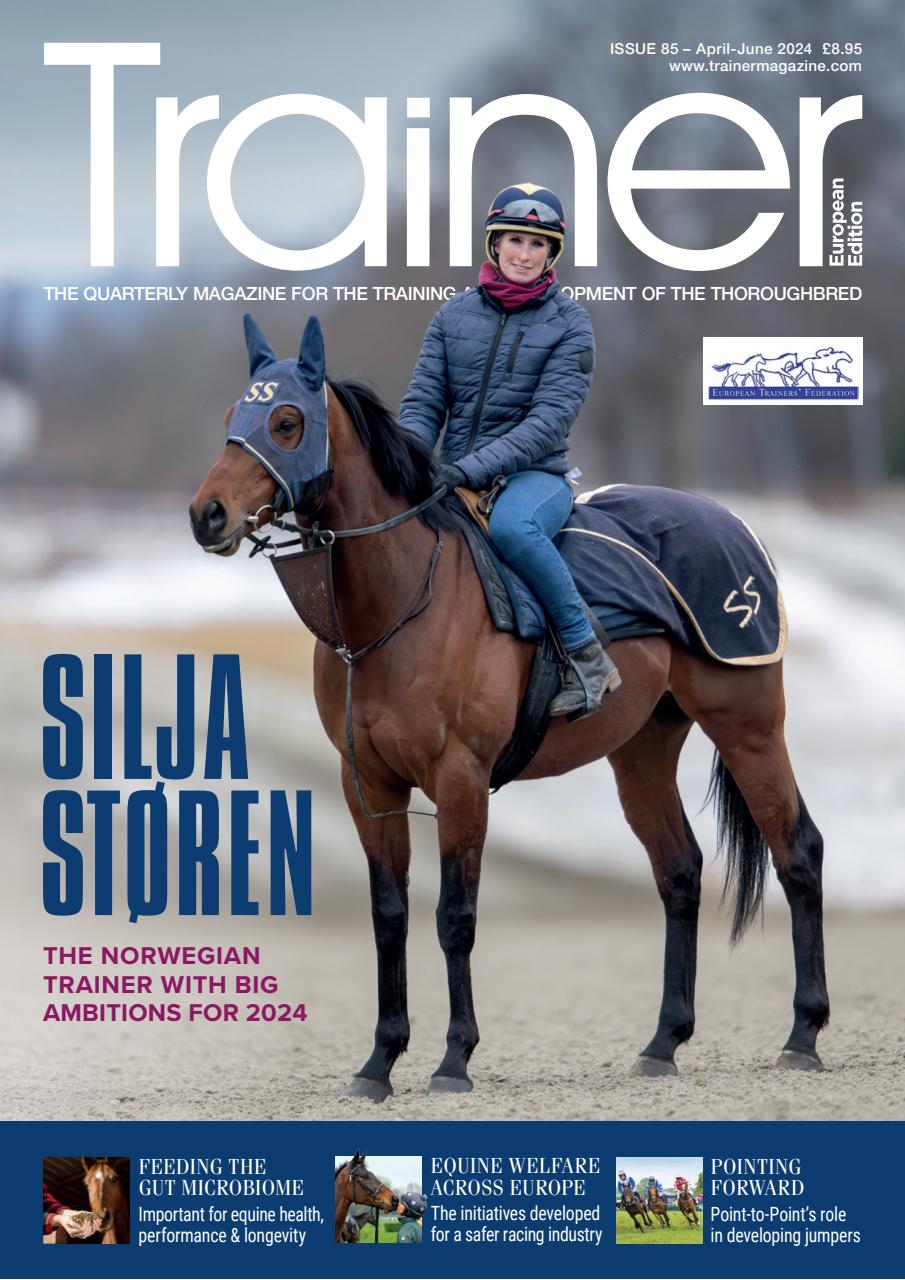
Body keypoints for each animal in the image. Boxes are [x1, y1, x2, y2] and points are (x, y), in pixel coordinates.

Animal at [189, 315, 830, 1100]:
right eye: (232, 416)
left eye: (285, 422)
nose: (207, 514)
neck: (400, 600)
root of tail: (732, 525)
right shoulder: (367, 782)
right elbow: (389, 915)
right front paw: (379, 1061)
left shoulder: (460, 778)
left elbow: (454, 916)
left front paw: (453, 1058)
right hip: (641, 751)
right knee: (679, 872)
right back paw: (662, 1042)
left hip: (749, 727)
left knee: (797, 852)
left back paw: (802, 1034)